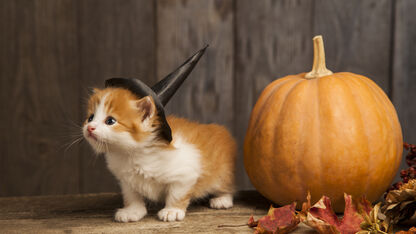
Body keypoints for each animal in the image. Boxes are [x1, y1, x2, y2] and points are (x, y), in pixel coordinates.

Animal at [83, 87, 236, 222]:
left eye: (110, 121)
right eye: (90, 118)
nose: (89, 128)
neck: (132, 154)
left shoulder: (185, 173)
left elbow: (176, 194)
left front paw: (172, 211)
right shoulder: (127, 179)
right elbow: (131, 195)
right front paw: (133, 211)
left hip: (222, 172)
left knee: (226, 185)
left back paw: (222, 199)